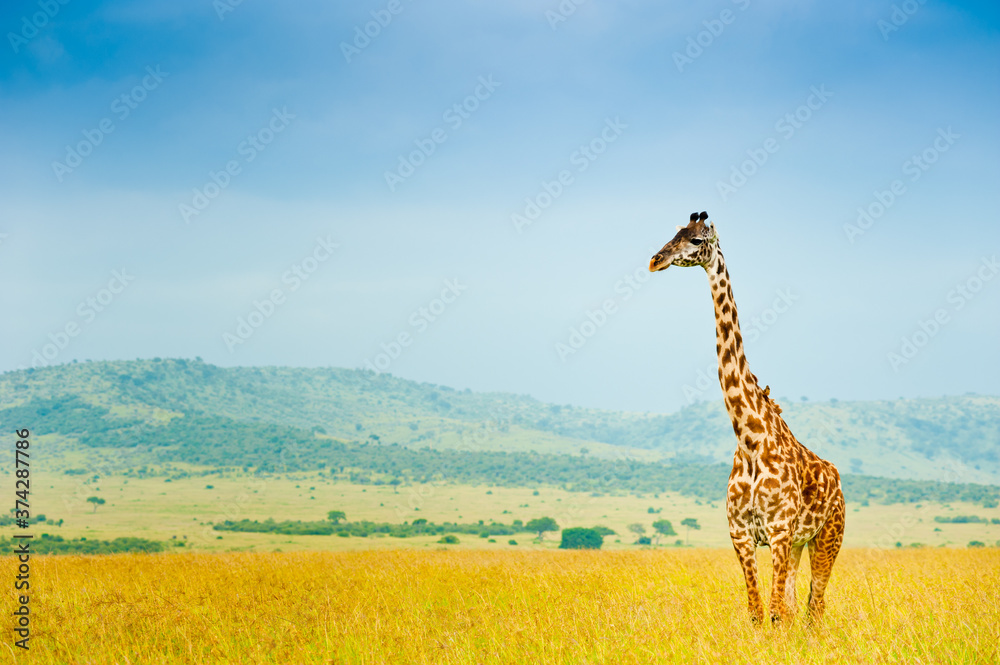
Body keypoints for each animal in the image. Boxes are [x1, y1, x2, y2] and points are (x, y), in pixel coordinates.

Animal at [648, 211, 845, 624]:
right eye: (674, 234)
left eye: (695, 240)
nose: (655, 260)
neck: (750, 438)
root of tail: (837, 480)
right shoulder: (742, 535)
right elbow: (758, 612)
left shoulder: (779, 532)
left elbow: (774, 614)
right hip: (800, 543)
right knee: (796, 604)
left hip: (828, 536)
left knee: (815, 606)